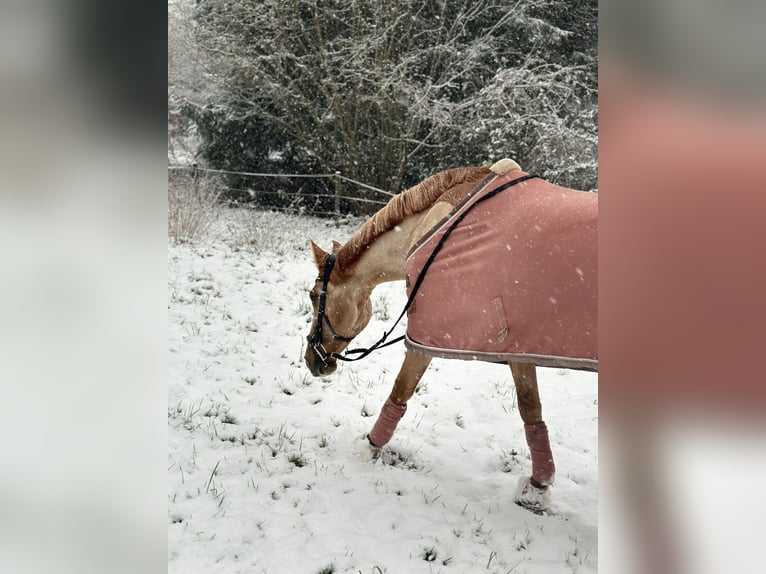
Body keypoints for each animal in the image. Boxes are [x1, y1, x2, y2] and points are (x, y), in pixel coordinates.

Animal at [303, 158, 597, 512]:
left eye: (313, 296)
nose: (311, 360)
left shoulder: (424, 338)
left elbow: (400, 392)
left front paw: (370, 447)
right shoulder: (517, 345)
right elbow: (531, 410)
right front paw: (538, 487)